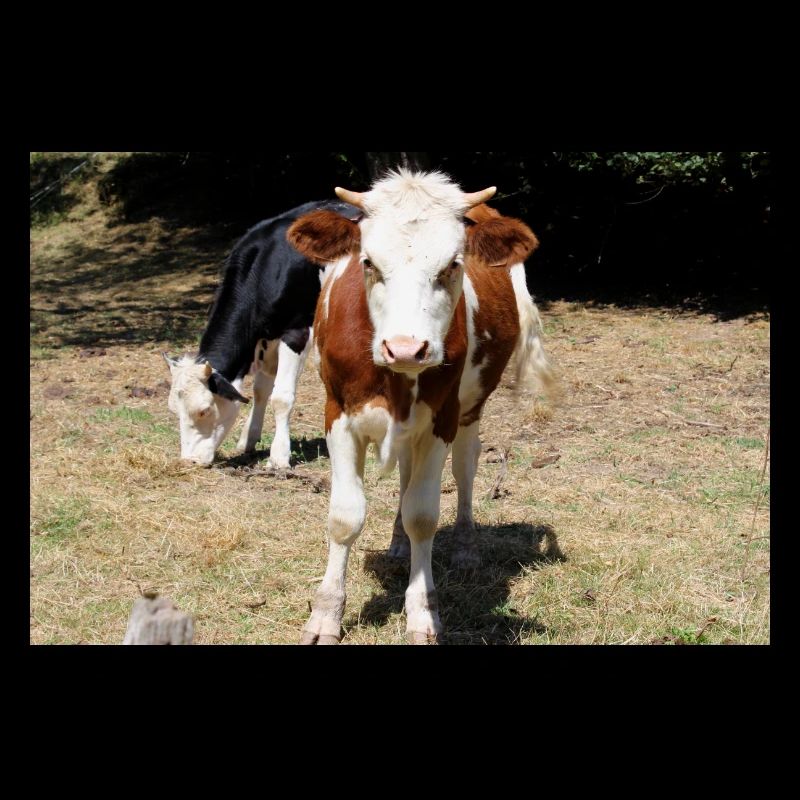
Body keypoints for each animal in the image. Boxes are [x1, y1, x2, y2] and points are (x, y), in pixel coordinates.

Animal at [164, 199, 359, 467]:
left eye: (204, 410)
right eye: (174, 409)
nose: (189, 461)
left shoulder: (296, 332)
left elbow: (281, 396)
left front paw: (279, 456)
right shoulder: (265, 338)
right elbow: (260, 390)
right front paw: (248, 438)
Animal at [287, 169, 553, 644]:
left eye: (453, 264)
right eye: (368, 262)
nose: (406, 349)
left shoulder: (440, 420)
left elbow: (424, 516)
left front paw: (422, 613)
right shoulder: (337, 414)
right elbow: (345, 517)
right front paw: (325, 615)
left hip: (469, 410)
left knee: (465, 468)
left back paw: (465, 549)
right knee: (406, 475)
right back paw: (396, 545)